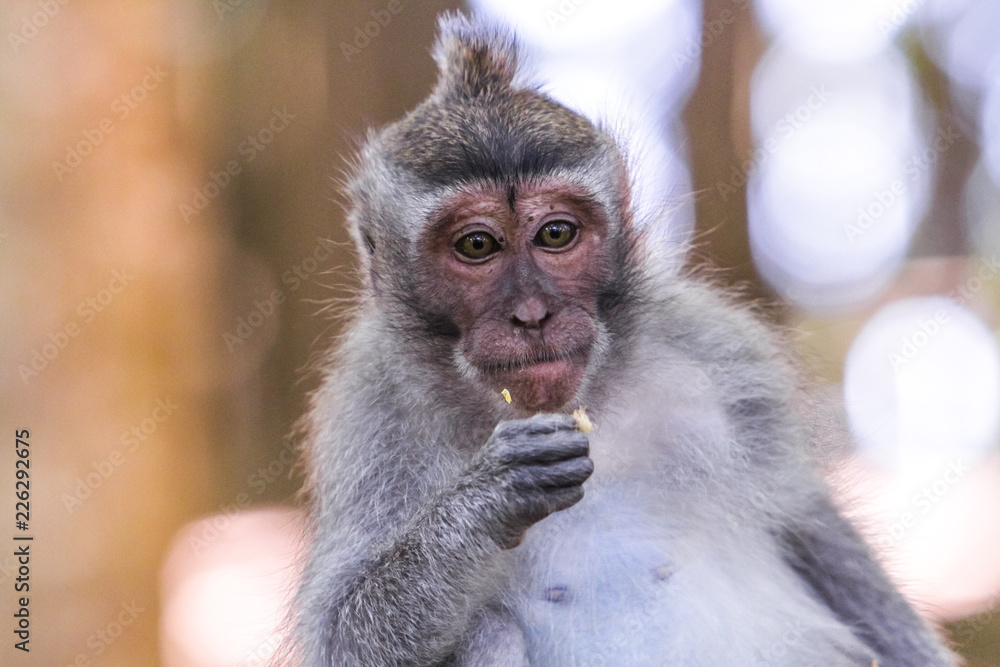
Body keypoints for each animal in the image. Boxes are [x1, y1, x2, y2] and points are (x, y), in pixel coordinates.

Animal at [287, 13, 956, 666]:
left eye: (556, 234)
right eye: (476, 245)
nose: (533, 315)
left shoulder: (721, 355)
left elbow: (813, 531)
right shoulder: (367, 413)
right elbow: (341, 632)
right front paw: (488, 497)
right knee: (487, 631)